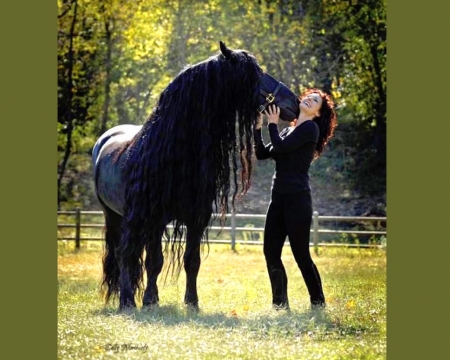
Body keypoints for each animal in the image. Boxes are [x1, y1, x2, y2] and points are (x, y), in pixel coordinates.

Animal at [92, 40, 298, 310]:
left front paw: (191, 302)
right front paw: (145, 301)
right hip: (115, 216)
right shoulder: (153, 219)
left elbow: (191, 260)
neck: (174, 153)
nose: (295, 102)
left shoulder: (196, 218)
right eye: (254, 74)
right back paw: (126, 300)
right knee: (123, 253)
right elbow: (151, 260)